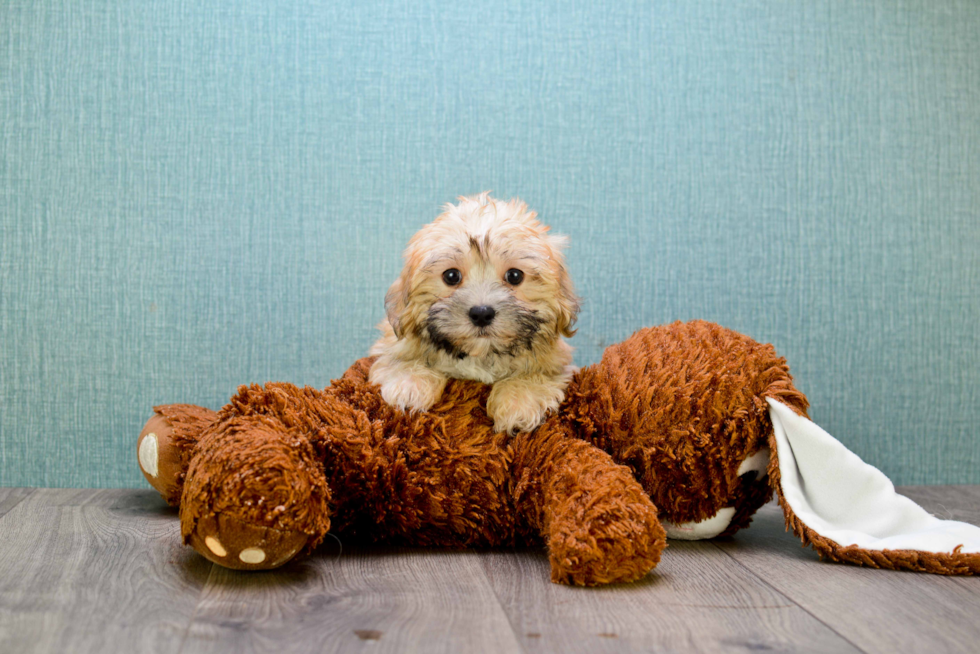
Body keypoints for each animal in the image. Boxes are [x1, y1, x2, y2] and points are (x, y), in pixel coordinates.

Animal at [370, 193, 580, 436]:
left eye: (515, 276)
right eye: (451, 276)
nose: (481, 313)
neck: (481, 355)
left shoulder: (555, 362)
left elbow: (535, 374)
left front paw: (518, 401)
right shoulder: (391, 345)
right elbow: (400, 359)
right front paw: (409, 385)